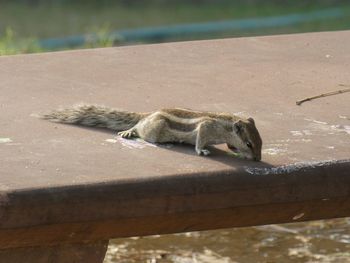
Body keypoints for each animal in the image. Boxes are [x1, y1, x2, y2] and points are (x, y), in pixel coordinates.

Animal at [43, 104, 262, 161]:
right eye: (249, 143)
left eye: (260, 142)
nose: (257, 159)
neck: (226, 125)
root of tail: (148, 114)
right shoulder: (205, 127)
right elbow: (200, 139)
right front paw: (202, 150)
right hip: (154, 129)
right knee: (138, 128)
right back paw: (128, 132)